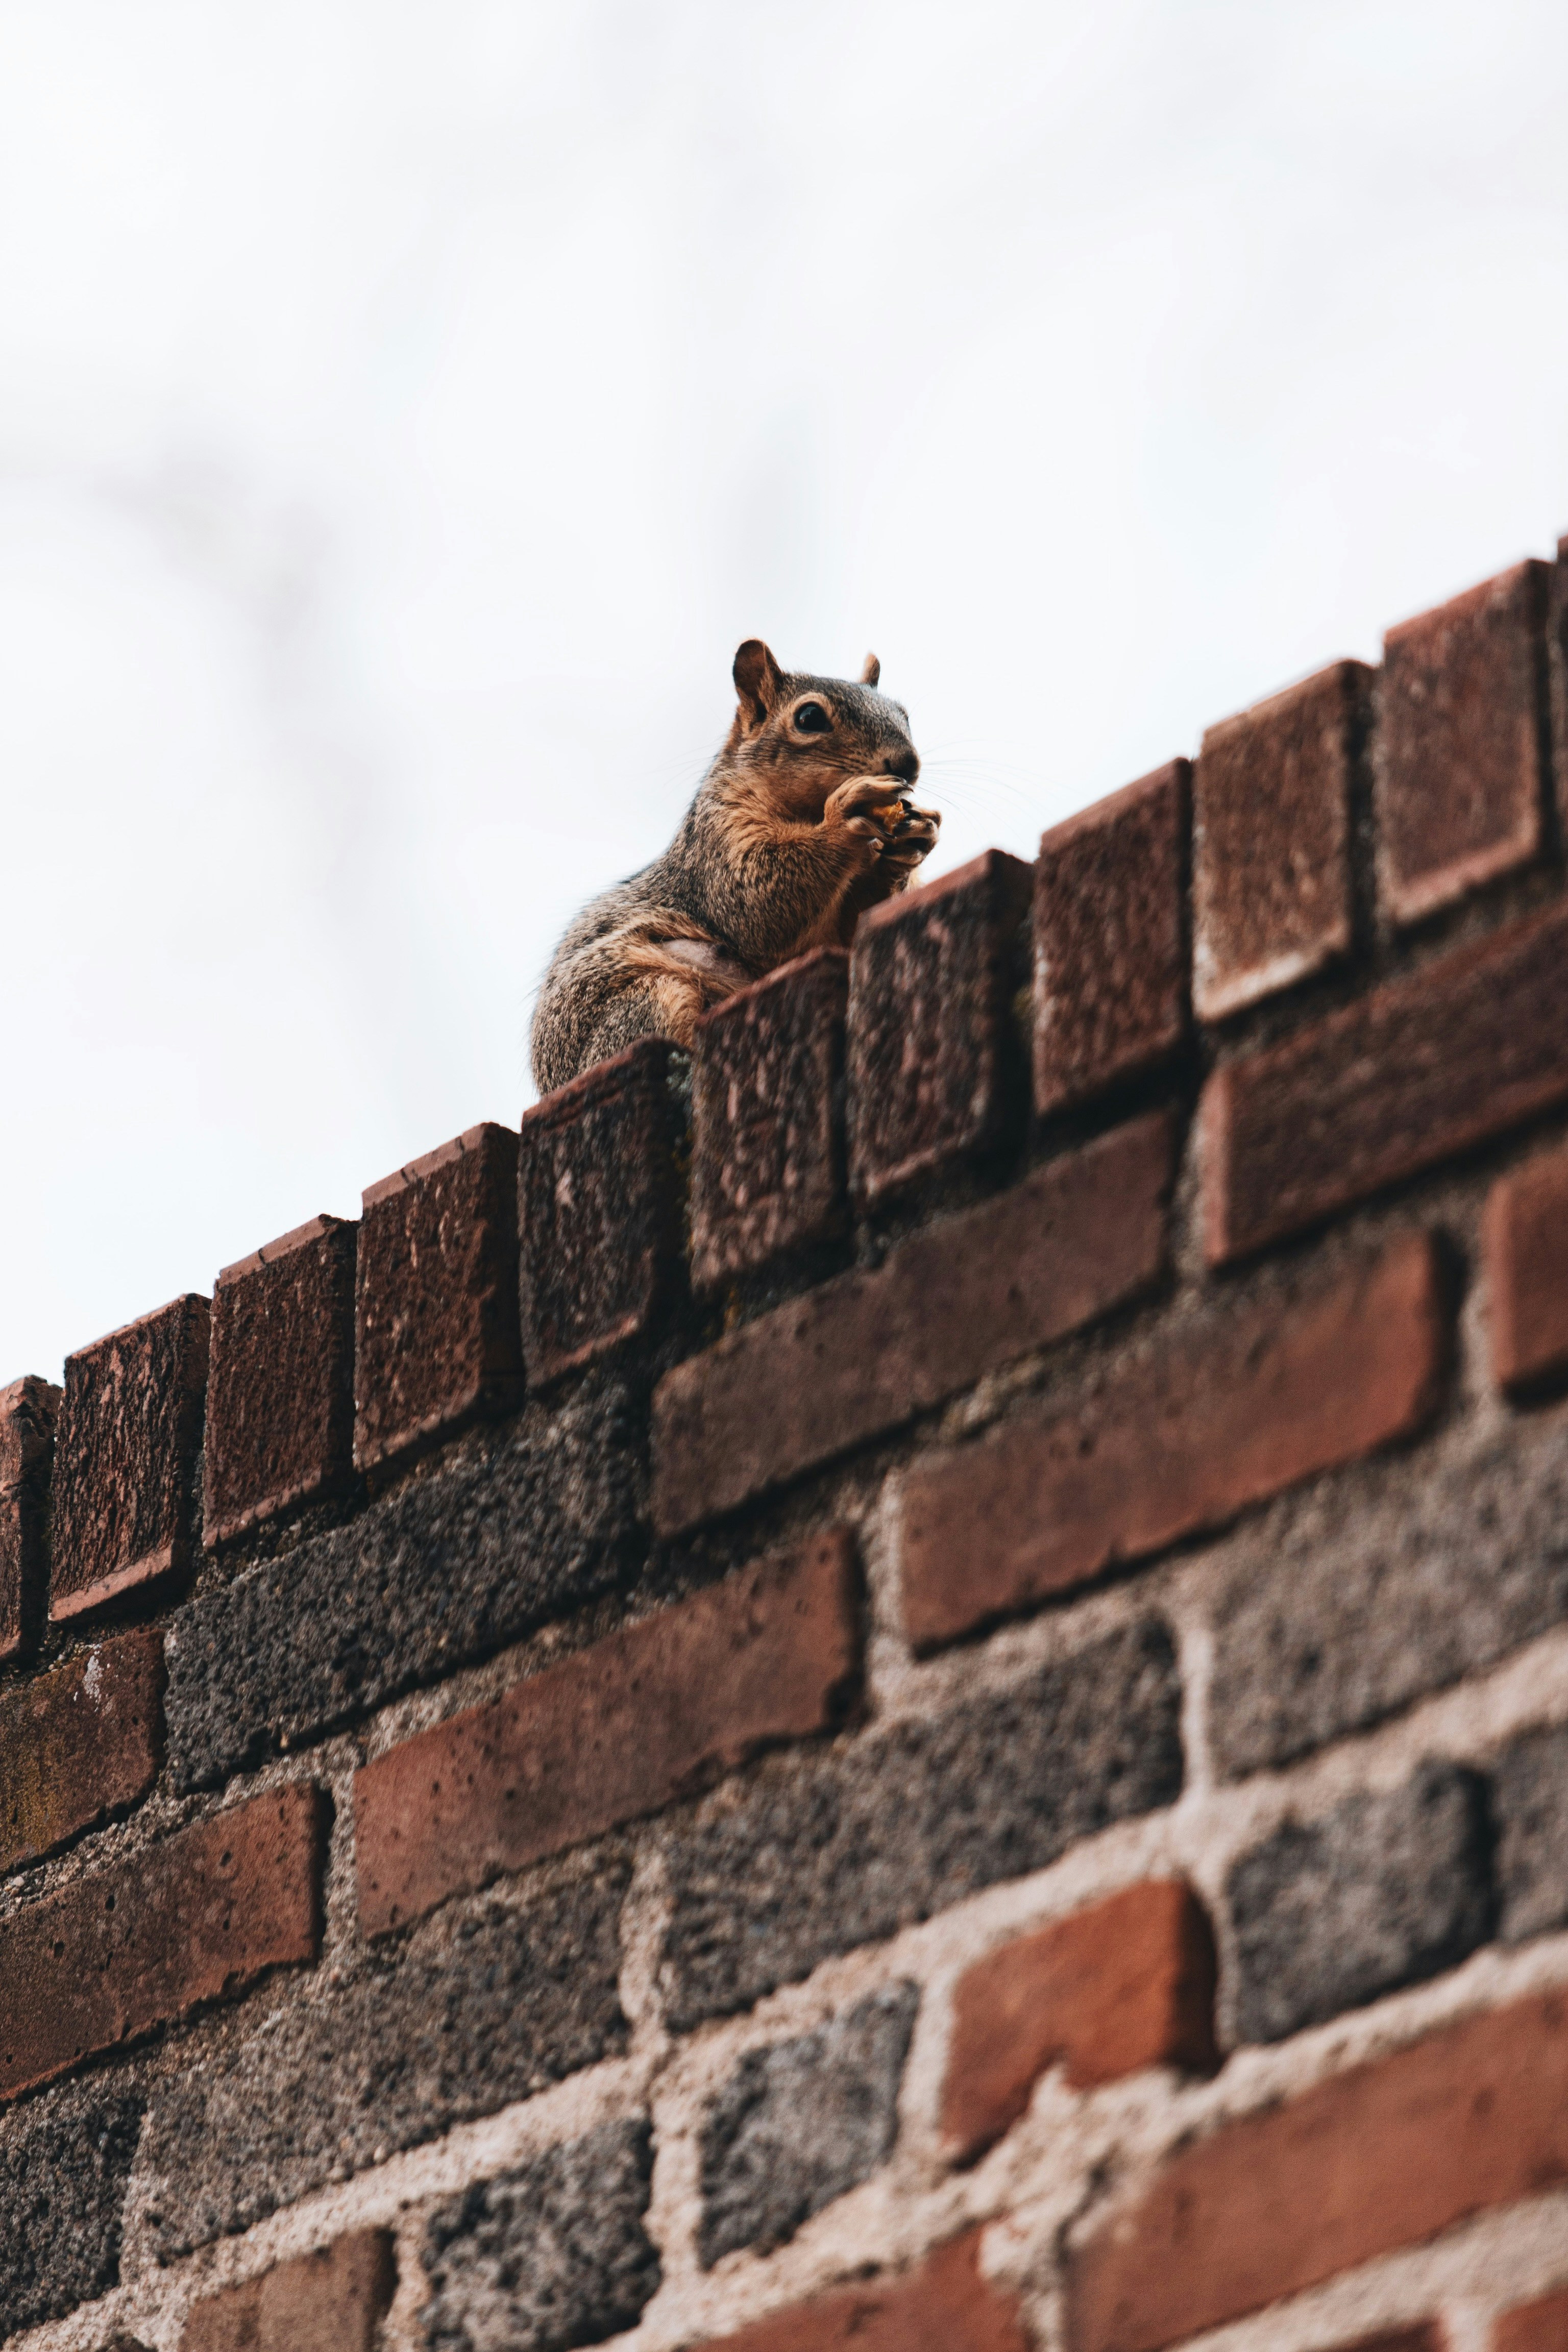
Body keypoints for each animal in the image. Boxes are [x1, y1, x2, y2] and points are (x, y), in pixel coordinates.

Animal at [530, 640, 940, 1092]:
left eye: (903, 714)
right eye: (809, 717)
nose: (907, 764)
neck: (805, 813)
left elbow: (845, 931)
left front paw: (911, 841)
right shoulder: (717, 841)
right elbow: (756, 902)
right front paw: (845, 817)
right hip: (647, 1002)